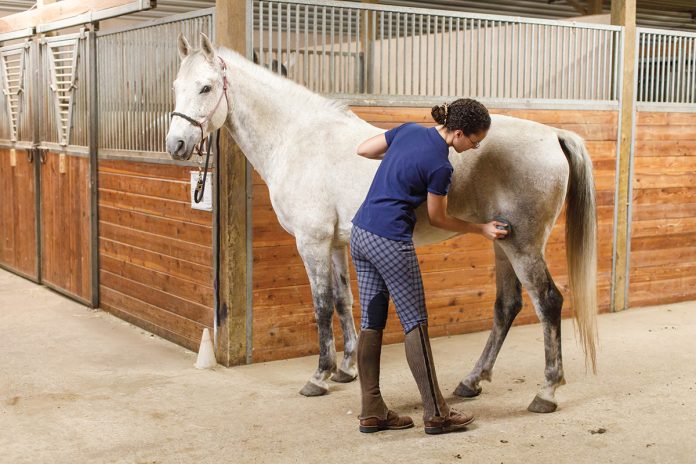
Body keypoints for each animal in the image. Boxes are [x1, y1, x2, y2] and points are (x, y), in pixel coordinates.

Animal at [166, 33, 596, 414]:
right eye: (176, 86)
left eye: (205, 87)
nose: (176, 145)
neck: (298, 140)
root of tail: (554, 134)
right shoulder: (337, 243)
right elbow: (344, 302)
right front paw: (346, 369)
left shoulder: (312, 242)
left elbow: (322, 305)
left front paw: (319, 376)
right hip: (501, 241)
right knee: (507, 306)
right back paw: (471, 381)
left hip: (523, 245)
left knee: (548, 302)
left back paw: (546, 392)